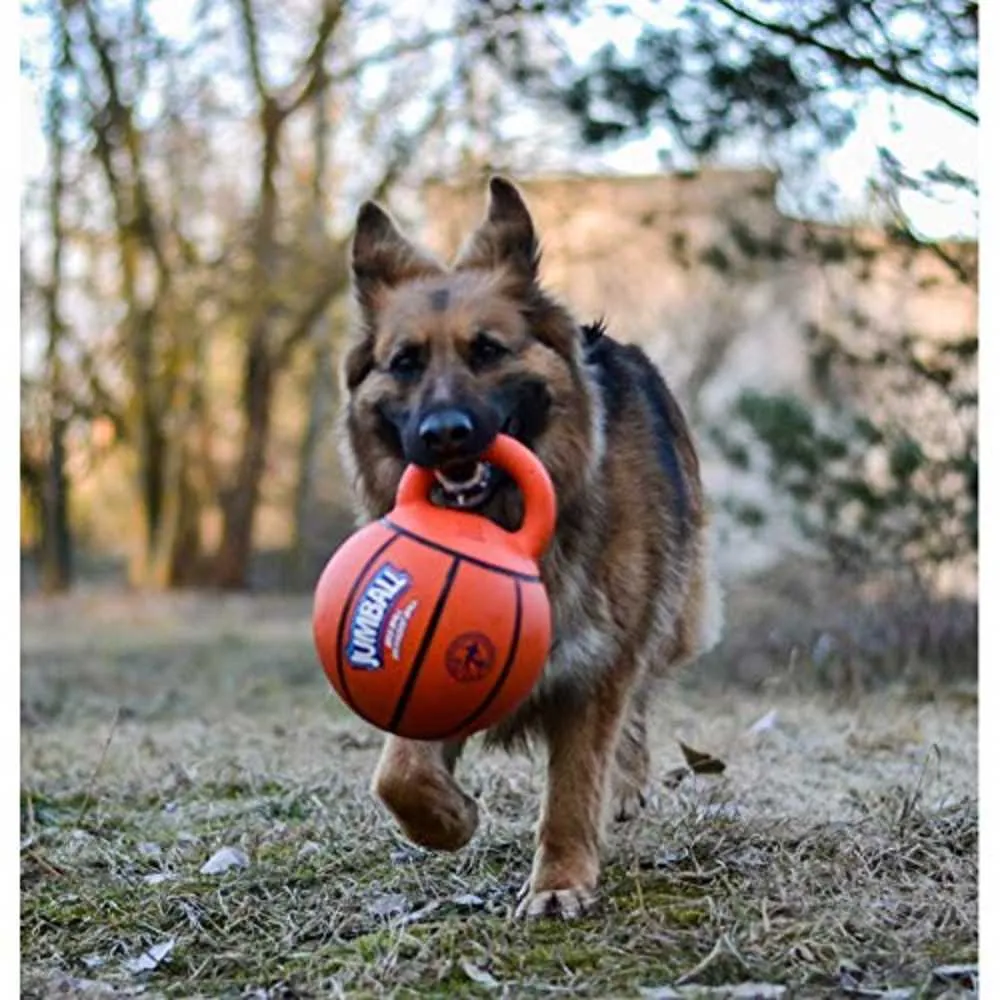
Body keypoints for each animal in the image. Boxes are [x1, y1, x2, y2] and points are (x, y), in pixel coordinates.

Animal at [340, 178, 724, 916]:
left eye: (488, 351)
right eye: (405, 363)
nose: (445, 434)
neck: (504, 518)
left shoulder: (594, 662)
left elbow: (574, 783)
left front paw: (560, 883)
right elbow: (397, 774)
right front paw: (451, 817)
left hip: (664, 614)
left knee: (637, 704)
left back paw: (626, 784)